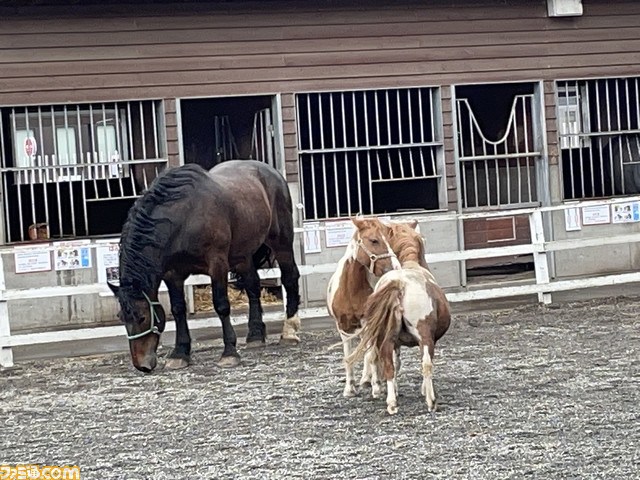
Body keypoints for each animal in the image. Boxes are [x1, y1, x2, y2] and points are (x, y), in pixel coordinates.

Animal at [108, 159, 301, 373]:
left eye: (142, 317)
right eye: (121, 317)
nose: (141, 364)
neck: (185, 217)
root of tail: (271, 171)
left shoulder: (217, 265)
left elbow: (222, 305)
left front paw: (229, 353)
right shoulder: (172, 274)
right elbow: (178, 309)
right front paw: (180, 354)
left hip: (281, 241)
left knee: (289, 278)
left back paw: (289, 331)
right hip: (242, 255)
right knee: (253, 286)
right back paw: (255, 336)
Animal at [326, 218, 427, 398]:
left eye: (389, 240)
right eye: (374, 240)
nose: (395, 266)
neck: (351, 290)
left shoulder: (370, 323)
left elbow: (373, 355)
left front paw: (377, 387)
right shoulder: (343, 327)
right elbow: (349, 356)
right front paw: (350, 388)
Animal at [347, 231, 450, 415]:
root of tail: (400, 284)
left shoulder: (395, 343)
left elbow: (395, 364)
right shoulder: (430, 339)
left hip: (386, 339)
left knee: (388, 366)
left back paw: (392, 403)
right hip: (424, 335)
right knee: (426, 364)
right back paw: (431, 401)